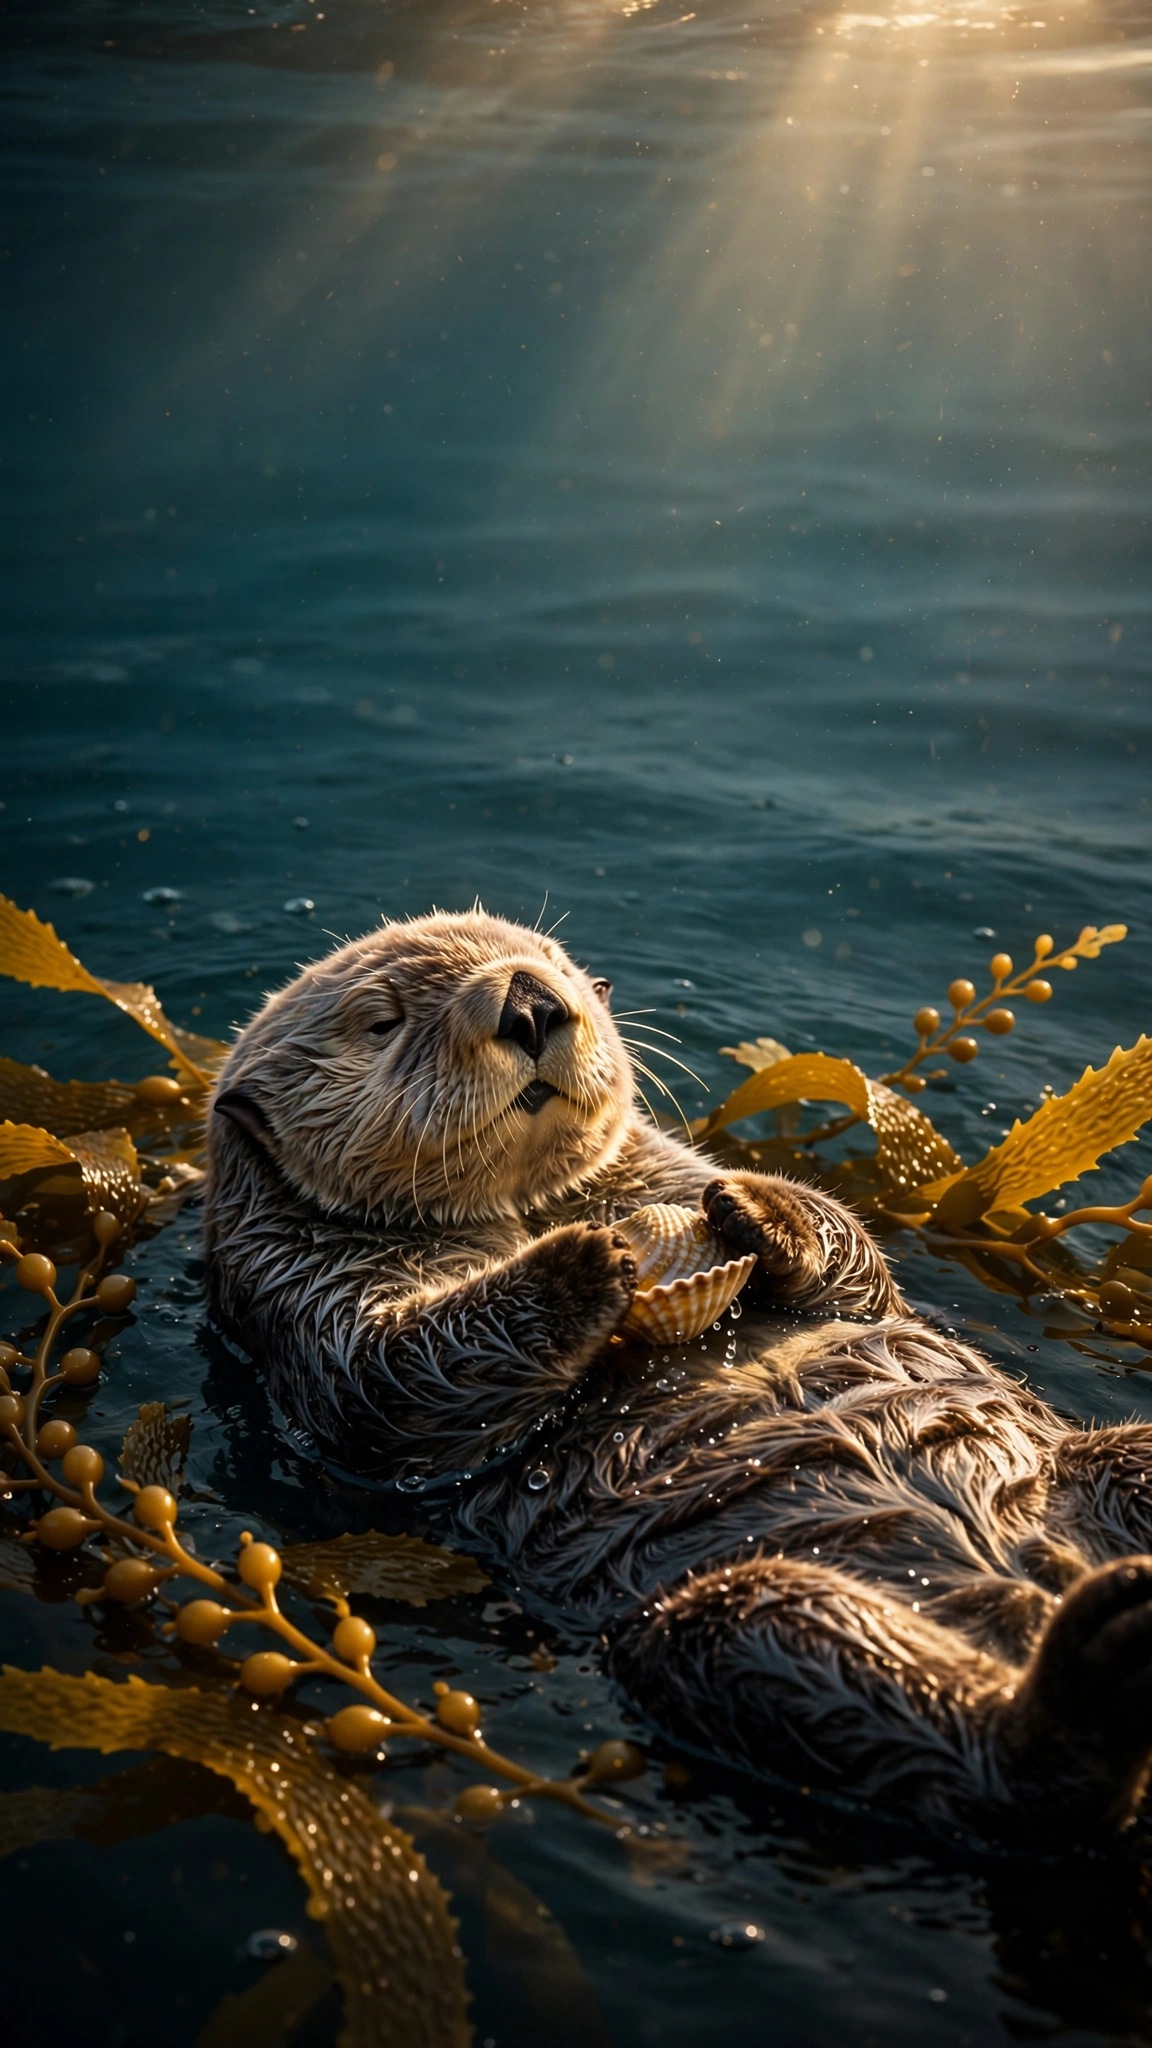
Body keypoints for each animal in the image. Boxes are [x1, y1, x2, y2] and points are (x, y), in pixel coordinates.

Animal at [204, 910, 1152, 1840]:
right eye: (384, 1022)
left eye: (553, 962)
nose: (529, 1002)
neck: (525, 1208)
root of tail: (1032, 1585)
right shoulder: (304, 1300)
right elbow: (393, 1378)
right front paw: (586, 1260)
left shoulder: (671, 1170)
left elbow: (857, 1263)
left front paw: (754, 1207)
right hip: (741, 1626)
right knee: (995, 1765)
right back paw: (1100, 1659)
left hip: (1101, 1466)